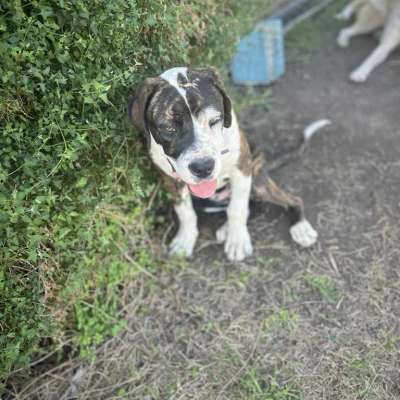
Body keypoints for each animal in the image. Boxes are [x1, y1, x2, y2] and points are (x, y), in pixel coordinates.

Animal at [128, 67, 318, 261]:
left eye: (214, 121)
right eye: (169, 129)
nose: (203, 167)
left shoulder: (242, 170)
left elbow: (237, 208)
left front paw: (237, 241)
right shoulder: (171, 181)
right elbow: (185, 212)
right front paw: (185, 240)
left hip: (258, 181)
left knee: (288, 200)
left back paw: (301, 228)